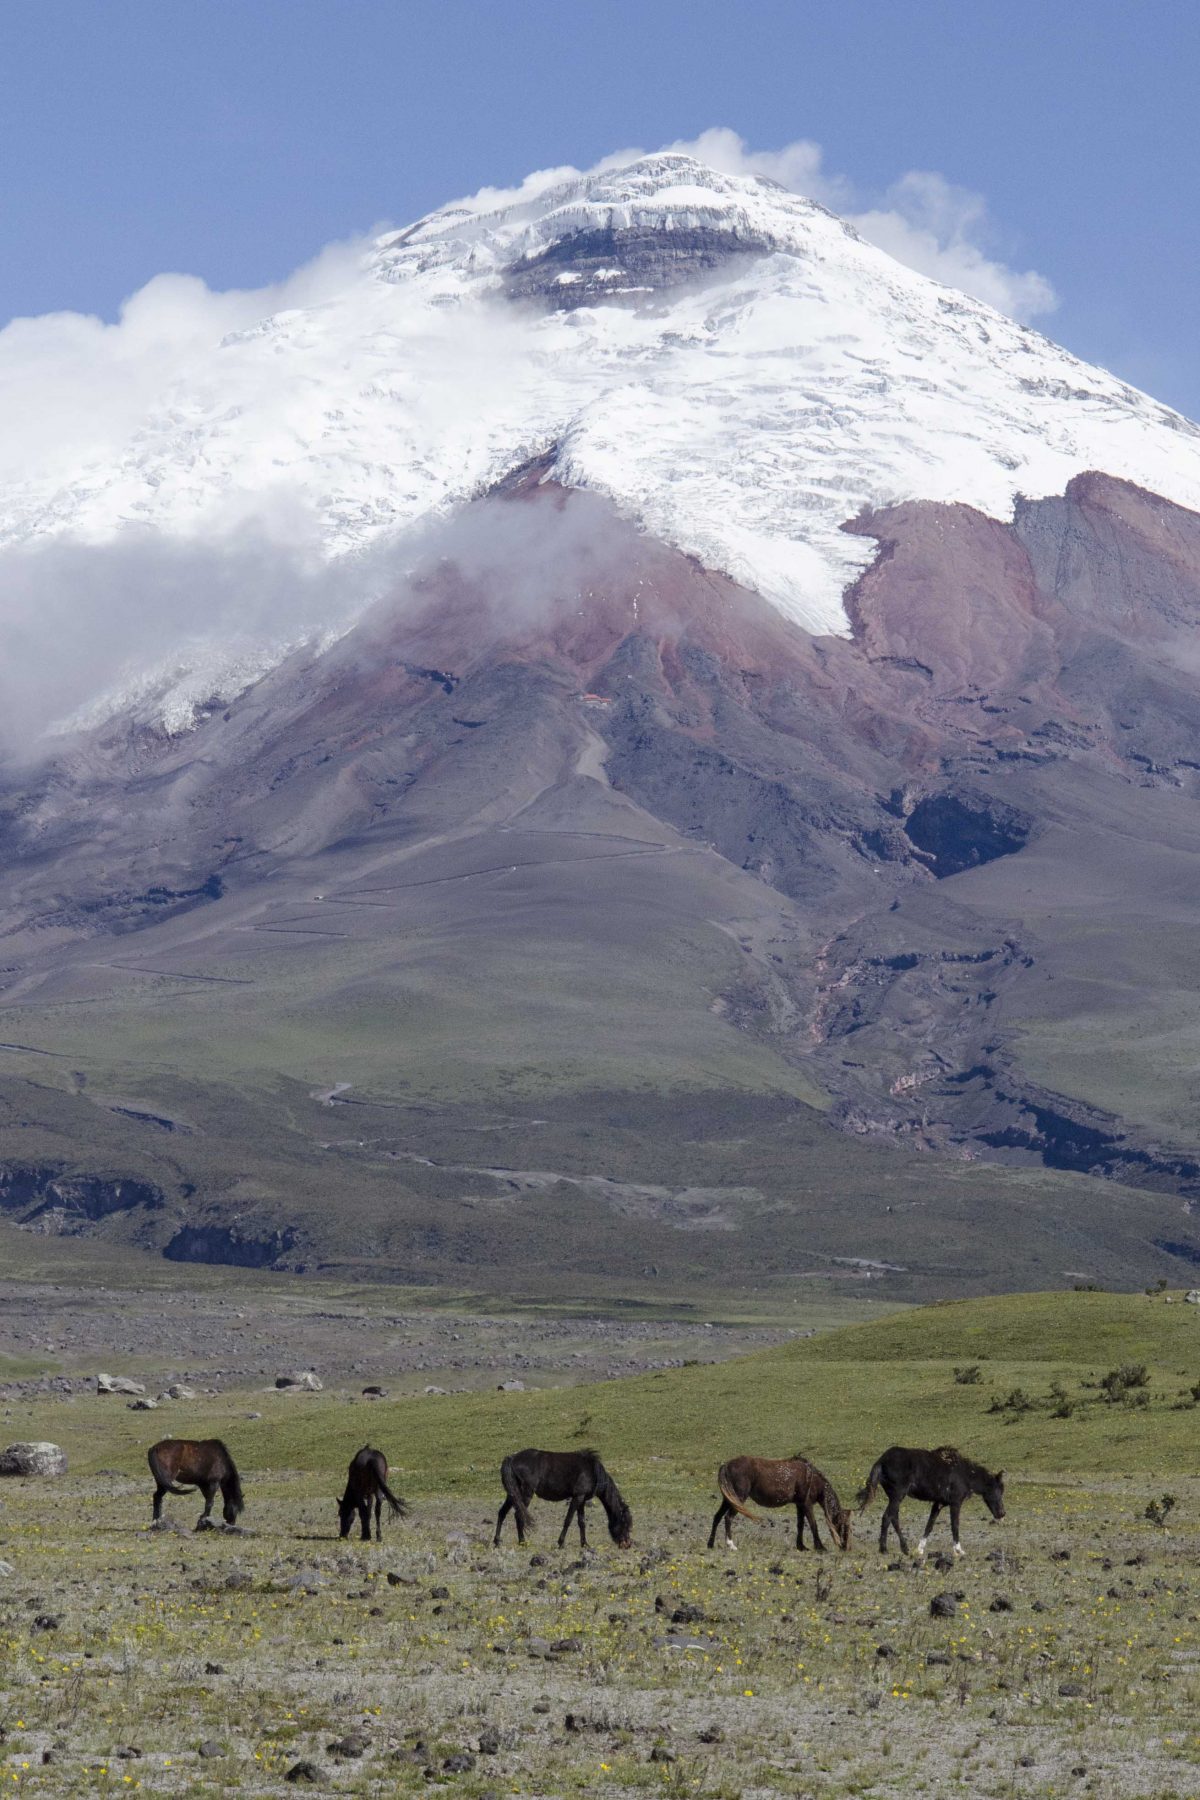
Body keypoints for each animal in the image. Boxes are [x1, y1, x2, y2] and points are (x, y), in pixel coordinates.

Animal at [492, 1447, 633, 1548]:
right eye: (625, 1523)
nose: (627, 1544)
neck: (592, 1470)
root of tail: (512, 1458)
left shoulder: (582, 1499)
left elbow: (581, 1522)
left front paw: (585, 1544)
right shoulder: (577, 1497)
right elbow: (568, 1520)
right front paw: (561, 1543)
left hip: (513, 1494)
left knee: (502, 1513)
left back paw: (497, 1542)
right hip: (526, 1493)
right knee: (518, 1515)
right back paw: (522, 1542)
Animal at [708, 1454, 849, 1555]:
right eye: (843, 1525)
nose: (845, 1547)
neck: (811, 1478)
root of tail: (726, 1465)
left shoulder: (799, 1505)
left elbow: (800, 1525)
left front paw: (801, 1546)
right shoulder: (807, 1504)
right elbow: (813, 1524)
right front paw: (820, 1547)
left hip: (729, 1500)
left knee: (717, 1517)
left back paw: (710, 1544)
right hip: (738, 1499)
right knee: (728, 1517)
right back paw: (731, 1545)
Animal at [859, 1440, 1007, 1555]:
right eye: (997, 1490)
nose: (1001, 1513)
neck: (965, 1474)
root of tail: (881, 1461)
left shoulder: (938, 1503)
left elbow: (929, 1525)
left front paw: (919, 1550)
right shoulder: (956, 1502)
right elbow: (955, 1525)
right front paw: (959, 1550)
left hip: (894, 1497)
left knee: (892, 1517)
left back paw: (900, 1548)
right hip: (897, 1495)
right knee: (888, 1517)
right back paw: (888, 1549)